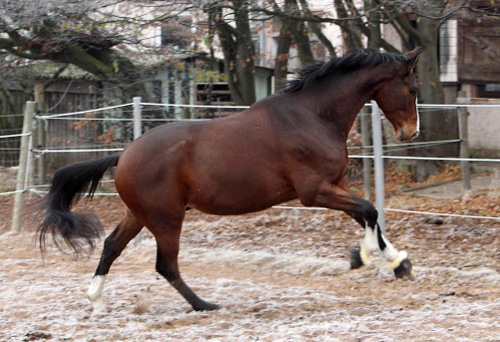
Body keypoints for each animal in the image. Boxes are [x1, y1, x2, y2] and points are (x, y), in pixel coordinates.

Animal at [38, 47, 422, 312]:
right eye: (414, 89)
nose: (411, 133)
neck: (312, 116)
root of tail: (124, 155)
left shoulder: (336, 185)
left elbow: (366, 214)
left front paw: (396, 262)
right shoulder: (314, 192)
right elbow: (369, 210)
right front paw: (370, 256)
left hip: (141, 214)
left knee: (111, 246)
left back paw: (96, 300)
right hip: (166, 218)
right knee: (166, 265)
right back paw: (204, 305)